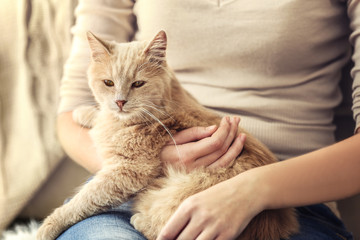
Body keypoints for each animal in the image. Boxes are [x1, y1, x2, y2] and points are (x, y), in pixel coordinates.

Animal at [35, 31, 298, 240]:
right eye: (108, 83)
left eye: (138, 84)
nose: (120, 101)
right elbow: (99, 115)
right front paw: (84, 112)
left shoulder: (127, 171)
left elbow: (83, 200)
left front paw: (47, 226)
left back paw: (139, 220)